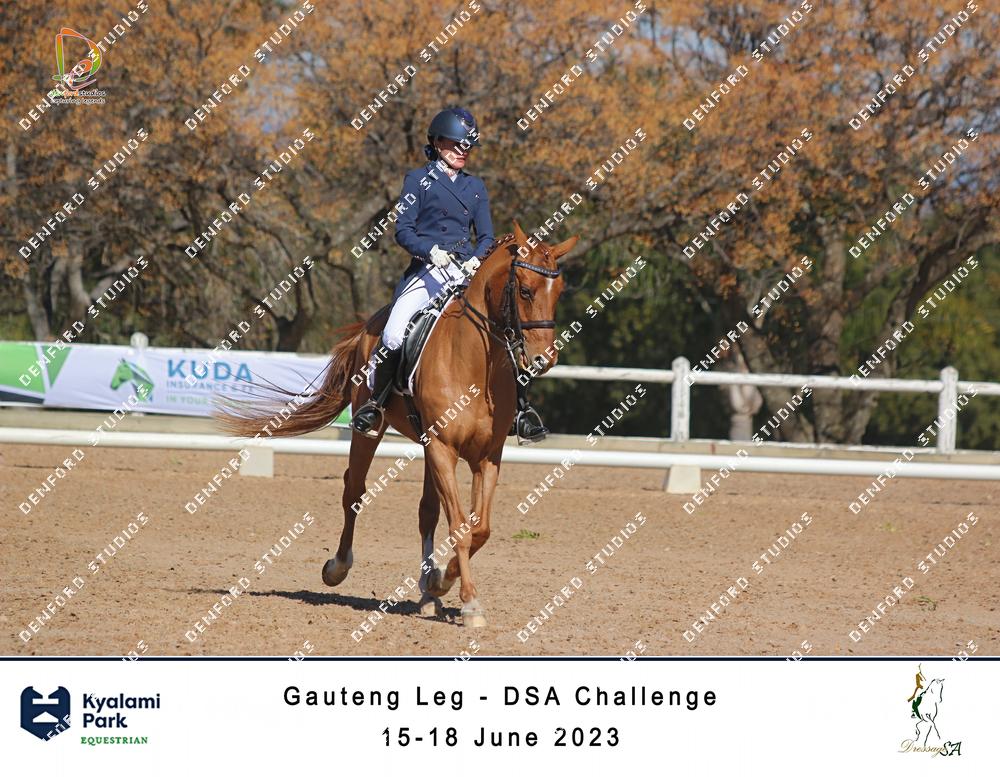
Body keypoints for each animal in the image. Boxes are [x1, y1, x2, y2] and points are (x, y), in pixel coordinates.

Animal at [217, 223, 577, 628]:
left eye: (559, 292)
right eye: (526, 290)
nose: (544, 359)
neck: (474, 362)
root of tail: (370, 324)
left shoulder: (486, 455)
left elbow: (478, 528)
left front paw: (442, 580)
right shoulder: (443, 448)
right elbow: (460, 527)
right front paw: (470, 603)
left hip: (428, 447)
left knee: (426, 512)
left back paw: (428, 590)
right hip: (372, 431)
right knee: (354, 491)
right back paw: (337, 568)